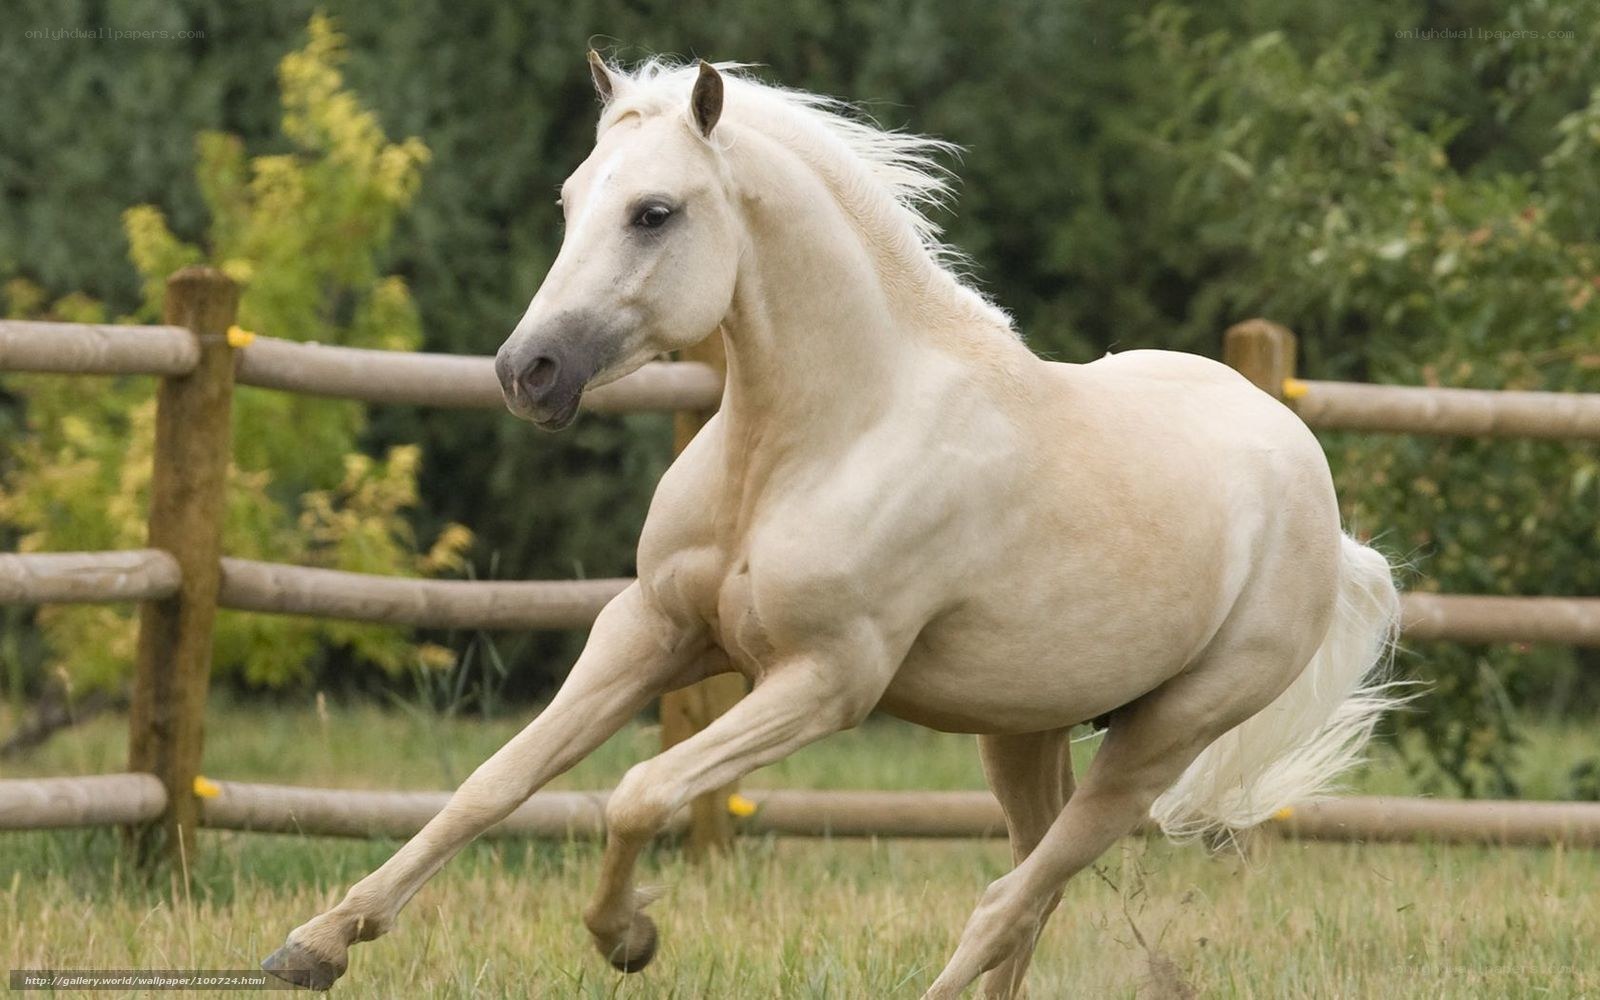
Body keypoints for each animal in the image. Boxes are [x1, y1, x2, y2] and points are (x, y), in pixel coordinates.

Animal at [263, 54, 1401, 998]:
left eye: (654, 212)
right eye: (572, 200)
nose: (527, 372)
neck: (815, 442)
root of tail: (1320, 503)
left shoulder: (824, 680)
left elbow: (638, 790)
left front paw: (628, 938)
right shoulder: (650, 631)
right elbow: (493, 782)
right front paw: (316, 944)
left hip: (1164, 738)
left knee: (1010, 898)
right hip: (1023, 727)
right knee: (1031, 891)